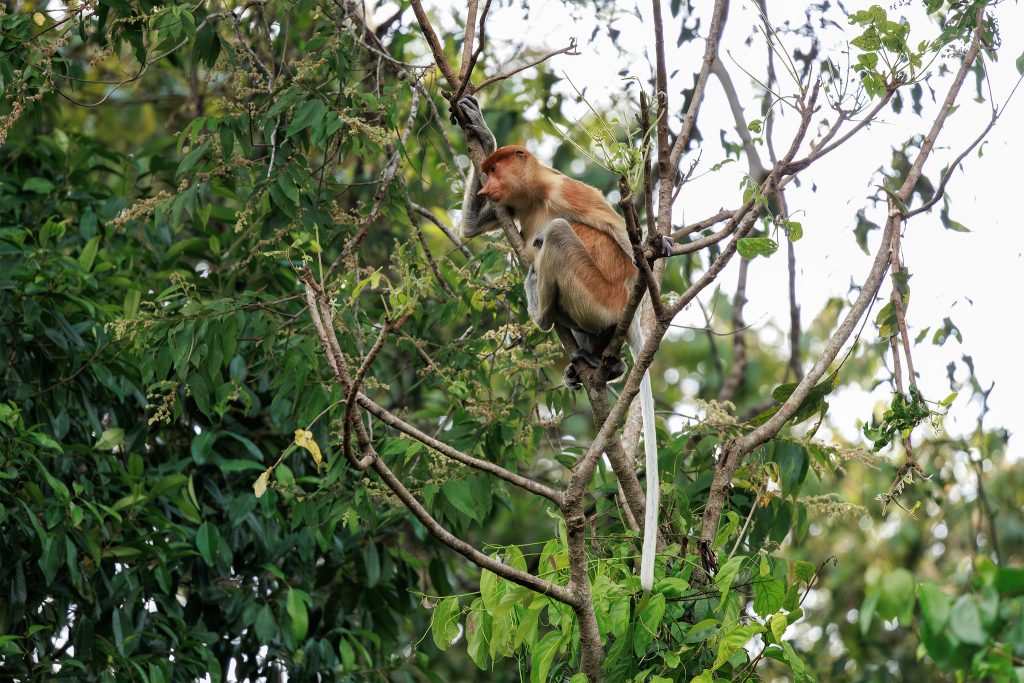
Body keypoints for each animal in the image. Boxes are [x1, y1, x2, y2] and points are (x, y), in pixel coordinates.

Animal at [455, 96, 667, 591]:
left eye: (495, 170)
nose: (485, 186)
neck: (532, 195)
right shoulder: (508, 207)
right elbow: (472, 229)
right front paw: (477, 125)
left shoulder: (564, 190)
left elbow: (611, 225)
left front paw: (661, 245)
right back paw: (596, 361)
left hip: (598, 292)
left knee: (555, 233)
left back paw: (541, 309)